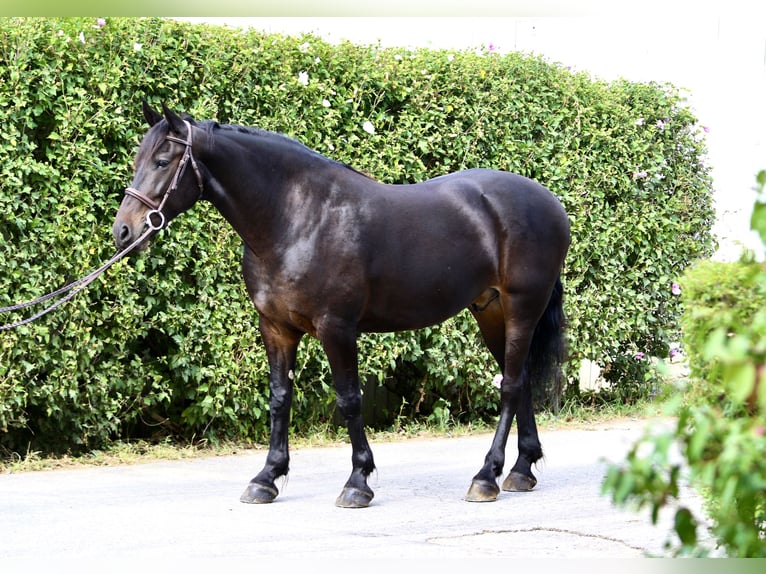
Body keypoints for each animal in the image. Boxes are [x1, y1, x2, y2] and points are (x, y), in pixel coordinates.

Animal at [113, 102, 571, 508]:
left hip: (522, 307)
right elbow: (280, 397)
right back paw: (520, 471)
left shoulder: (336, 327)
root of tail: (548, 201)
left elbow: (349, 399)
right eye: (137, 158)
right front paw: (267, 478)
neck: (296, 217)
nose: (123, 231)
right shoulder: (276, 328)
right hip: (490, 312)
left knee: (510, 387)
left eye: (163, 161)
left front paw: (357, 482)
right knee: (520, 379)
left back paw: (486, 476)